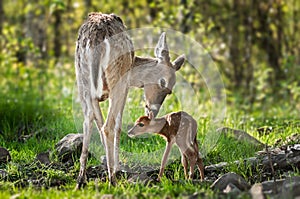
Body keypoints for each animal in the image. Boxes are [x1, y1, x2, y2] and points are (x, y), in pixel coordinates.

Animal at [74, 12, 185, 188]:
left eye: (169, 91)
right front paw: (116, 168)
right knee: (108, 125)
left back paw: (80, 180)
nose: (152, 111)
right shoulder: (125, 86)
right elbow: (118, 125)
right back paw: (112, 179)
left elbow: (96, 121)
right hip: (117, 78)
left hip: (82, 77)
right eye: (164, 84)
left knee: (88, 121)